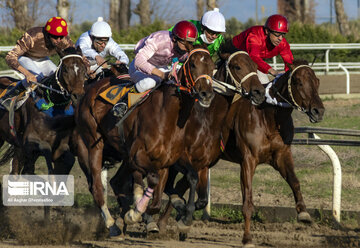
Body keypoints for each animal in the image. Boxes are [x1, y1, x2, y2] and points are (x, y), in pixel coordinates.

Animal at [0, 46, 87, 174]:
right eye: (65, 70)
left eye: (84, 69)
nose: (78, 96)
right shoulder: (30, 145)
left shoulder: (60, 147)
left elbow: (66, 161)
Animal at [74, 43, 217, 237]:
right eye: (193, 64)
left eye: (212, 66)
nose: (206, 95)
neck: (167, 115)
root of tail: (89, 89)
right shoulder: (138, 156)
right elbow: (153, 183)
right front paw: (135, 214)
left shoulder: (168, 160)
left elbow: (164, 194)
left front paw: (182, 216)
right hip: (92, 145)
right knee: (97, 188)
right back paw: (113, 225)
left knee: (116, 182)